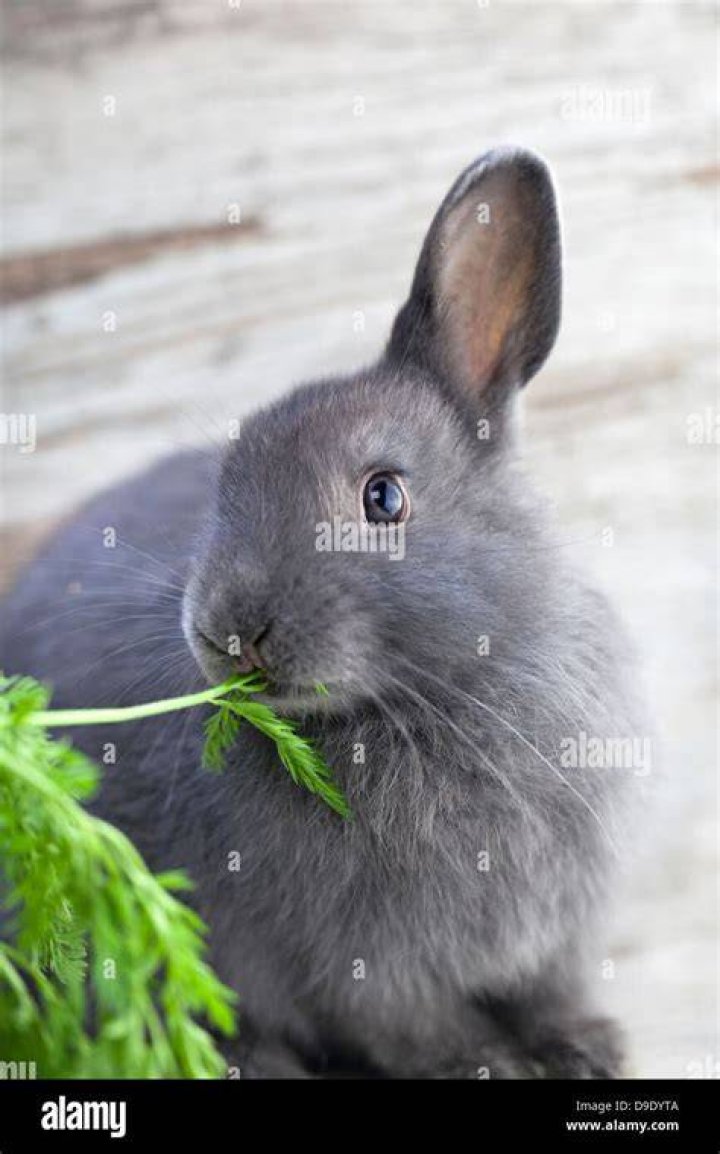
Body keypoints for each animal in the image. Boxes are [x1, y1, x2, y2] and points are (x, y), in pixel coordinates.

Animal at [1, 147, 643, 1079]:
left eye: (384, 497)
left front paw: (590, 1049)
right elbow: (419, 1031)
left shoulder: (553, 936)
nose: (227, 630)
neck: (430, 699)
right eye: (225, 481)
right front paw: (494, 1064)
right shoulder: (366, 974)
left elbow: (549, 995)